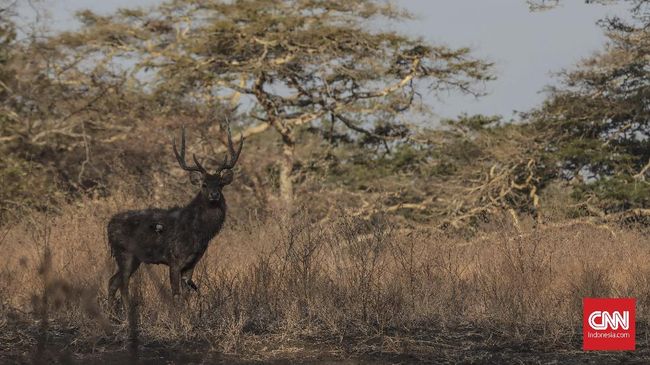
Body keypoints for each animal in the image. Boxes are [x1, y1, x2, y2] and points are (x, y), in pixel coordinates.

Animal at [107, 123, 243, 306]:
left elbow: (186, 295)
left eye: (221, 184)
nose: (214, 195)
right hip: (124, 252)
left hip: (134, 258)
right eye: (204, 185)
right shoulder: (174, 258)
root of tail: (109, 225)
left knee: (113, 282)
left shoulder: (192, 262)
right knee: (122, 284)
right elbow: (176, 295)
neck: (199, 232)